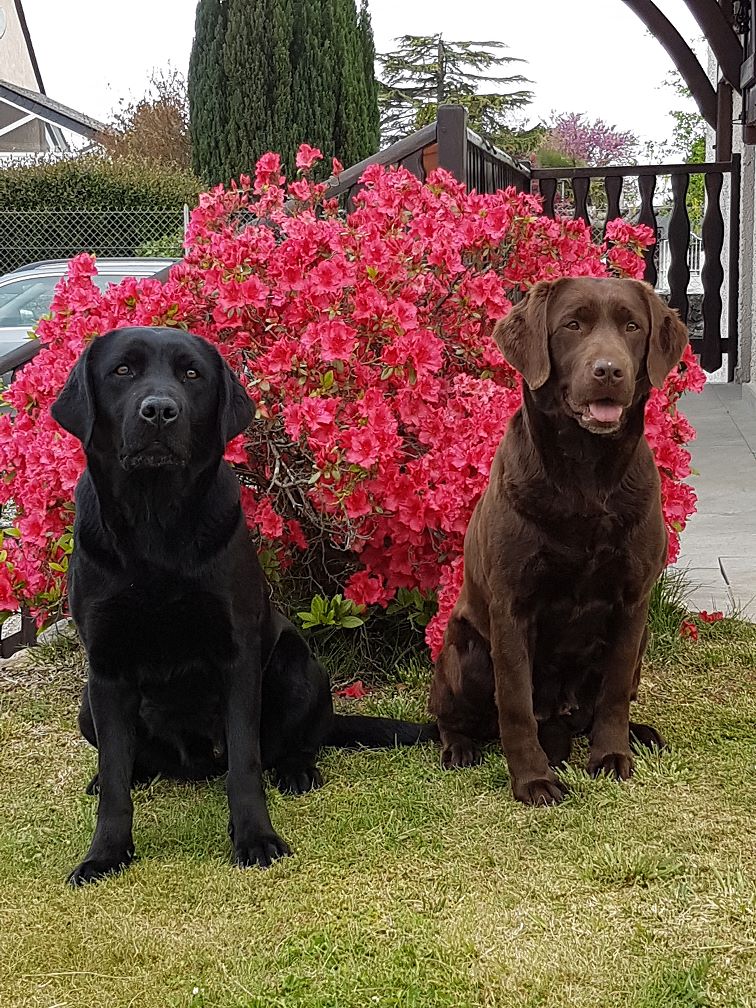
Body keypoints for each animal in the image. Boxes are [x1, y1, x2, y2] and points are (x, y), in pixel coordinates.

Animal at [50, 326, 435, 887]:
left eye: (191, 374)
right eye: (122, 370)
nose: (159, 411)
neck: (156, 524)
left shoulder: (238, 657)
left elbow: (246, 765)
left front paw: (256, 838)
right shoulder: (106, 665)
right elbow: (117, 784)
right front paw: (105, 854)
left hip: (297, 666)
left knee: (295, 741)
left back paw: (298, 769)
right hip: (86, 705)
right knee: (124, 762)